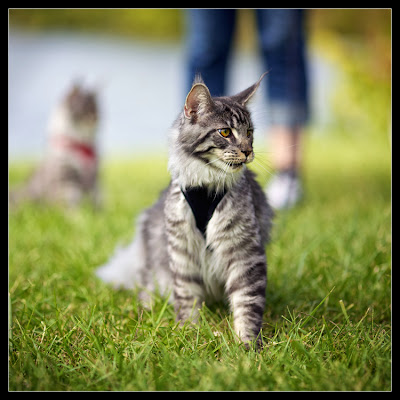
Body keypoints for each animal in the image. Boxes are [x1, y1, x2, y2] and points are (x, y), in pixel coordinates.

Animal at [97, 72, 274, 344]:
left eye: (249, 132)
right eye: (225, 132)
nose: (248, 151)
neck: (207, 185)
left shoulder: (244, 252)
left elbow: (247, 302)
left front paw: (248, 344)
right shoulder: (182, 250)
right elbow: (187, 297)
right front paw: (188, 333)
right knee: (146, 287)